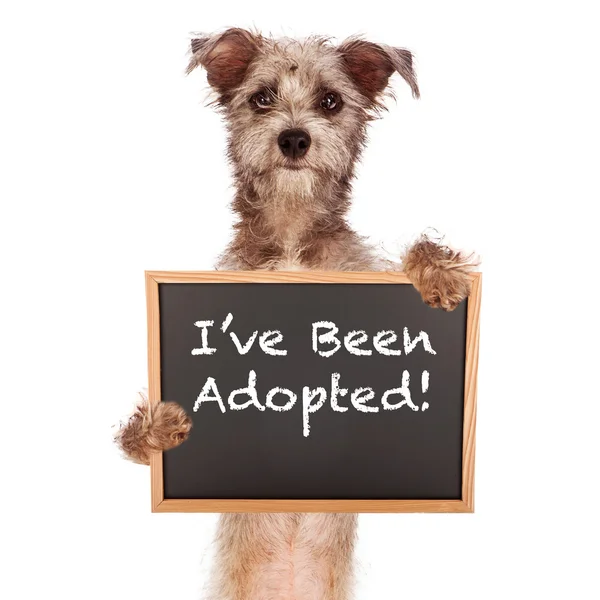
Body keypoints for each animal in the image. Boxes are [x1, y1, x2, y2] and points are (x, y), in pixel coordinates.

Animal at [115, 28, 476, 600]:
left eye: (331, 101)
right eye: (262, 97)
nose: (293, 139)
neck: (290, 229)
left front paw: (437, 272)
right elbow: (133, 438)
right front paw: (156, 427)